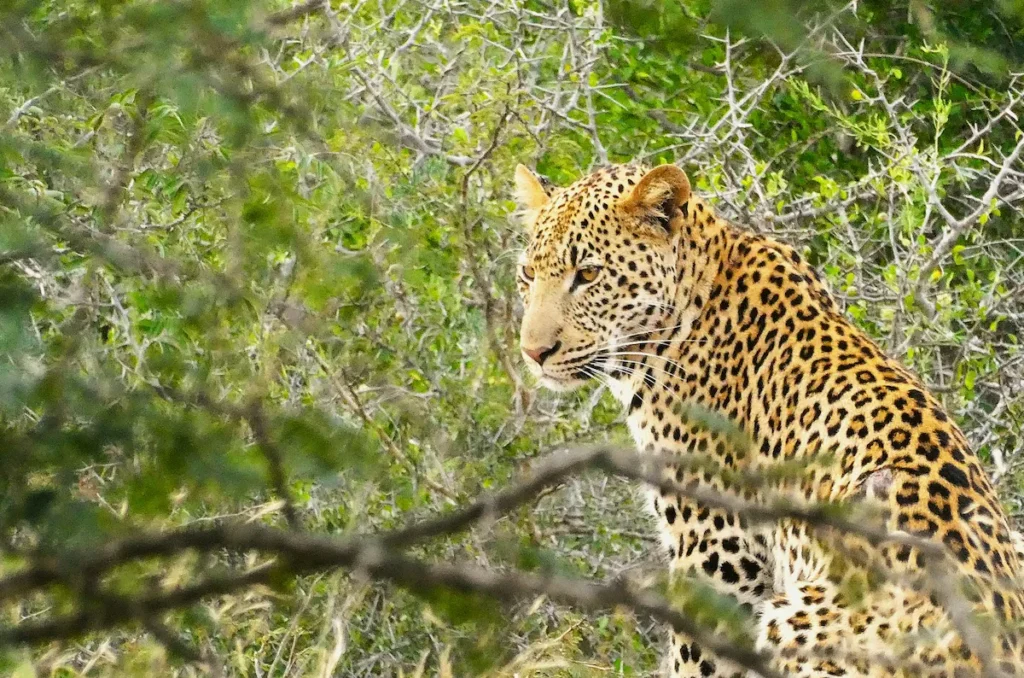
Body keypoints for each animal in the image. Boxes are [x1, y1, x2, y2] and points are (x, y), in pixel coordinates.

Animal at [513, 161, 1024, 677]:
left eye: (588, 274)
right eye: (528, 274)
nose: (534, 352)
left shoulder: (718, 549)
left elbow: (693, 658)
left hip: (794, 615)